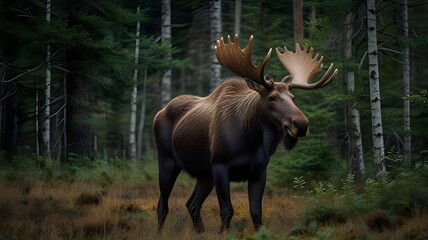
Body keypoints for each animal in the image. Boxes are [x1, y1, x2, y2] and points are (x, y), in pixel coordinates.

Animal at [154, 34, 338, 232]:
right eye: (271, 98)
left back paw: (200, 233)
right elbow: (227, 211)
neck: (252, 140)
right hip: (168, 162)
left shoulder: (259, 171)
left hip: (204, 175)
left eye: (293, 97)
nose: (302, 124)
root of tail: (159, 113)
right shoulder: (220, 166)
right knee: (163, 205)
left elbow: (256, 212)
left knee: (192, 204)